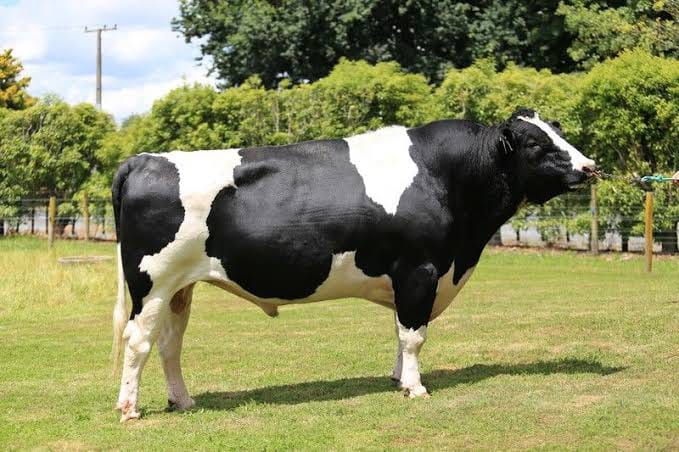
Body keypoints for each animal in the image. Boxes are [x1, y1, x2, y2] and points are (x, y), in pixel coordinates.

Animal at [111, 108, 596, 421]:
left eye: (558, 130)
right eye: (534, 143)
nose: (590, 166)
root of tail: (143, 159)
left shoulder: (406, 278)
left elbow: (401, 332)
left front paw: (398, 379)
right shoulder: (420, 270)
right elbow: (414, 335)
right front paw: (415, 387)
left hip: (180, 287)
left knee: (169, 344)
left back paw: (183, 401)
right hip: (151, 284)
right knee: (138, 341)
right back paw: (129, 409)